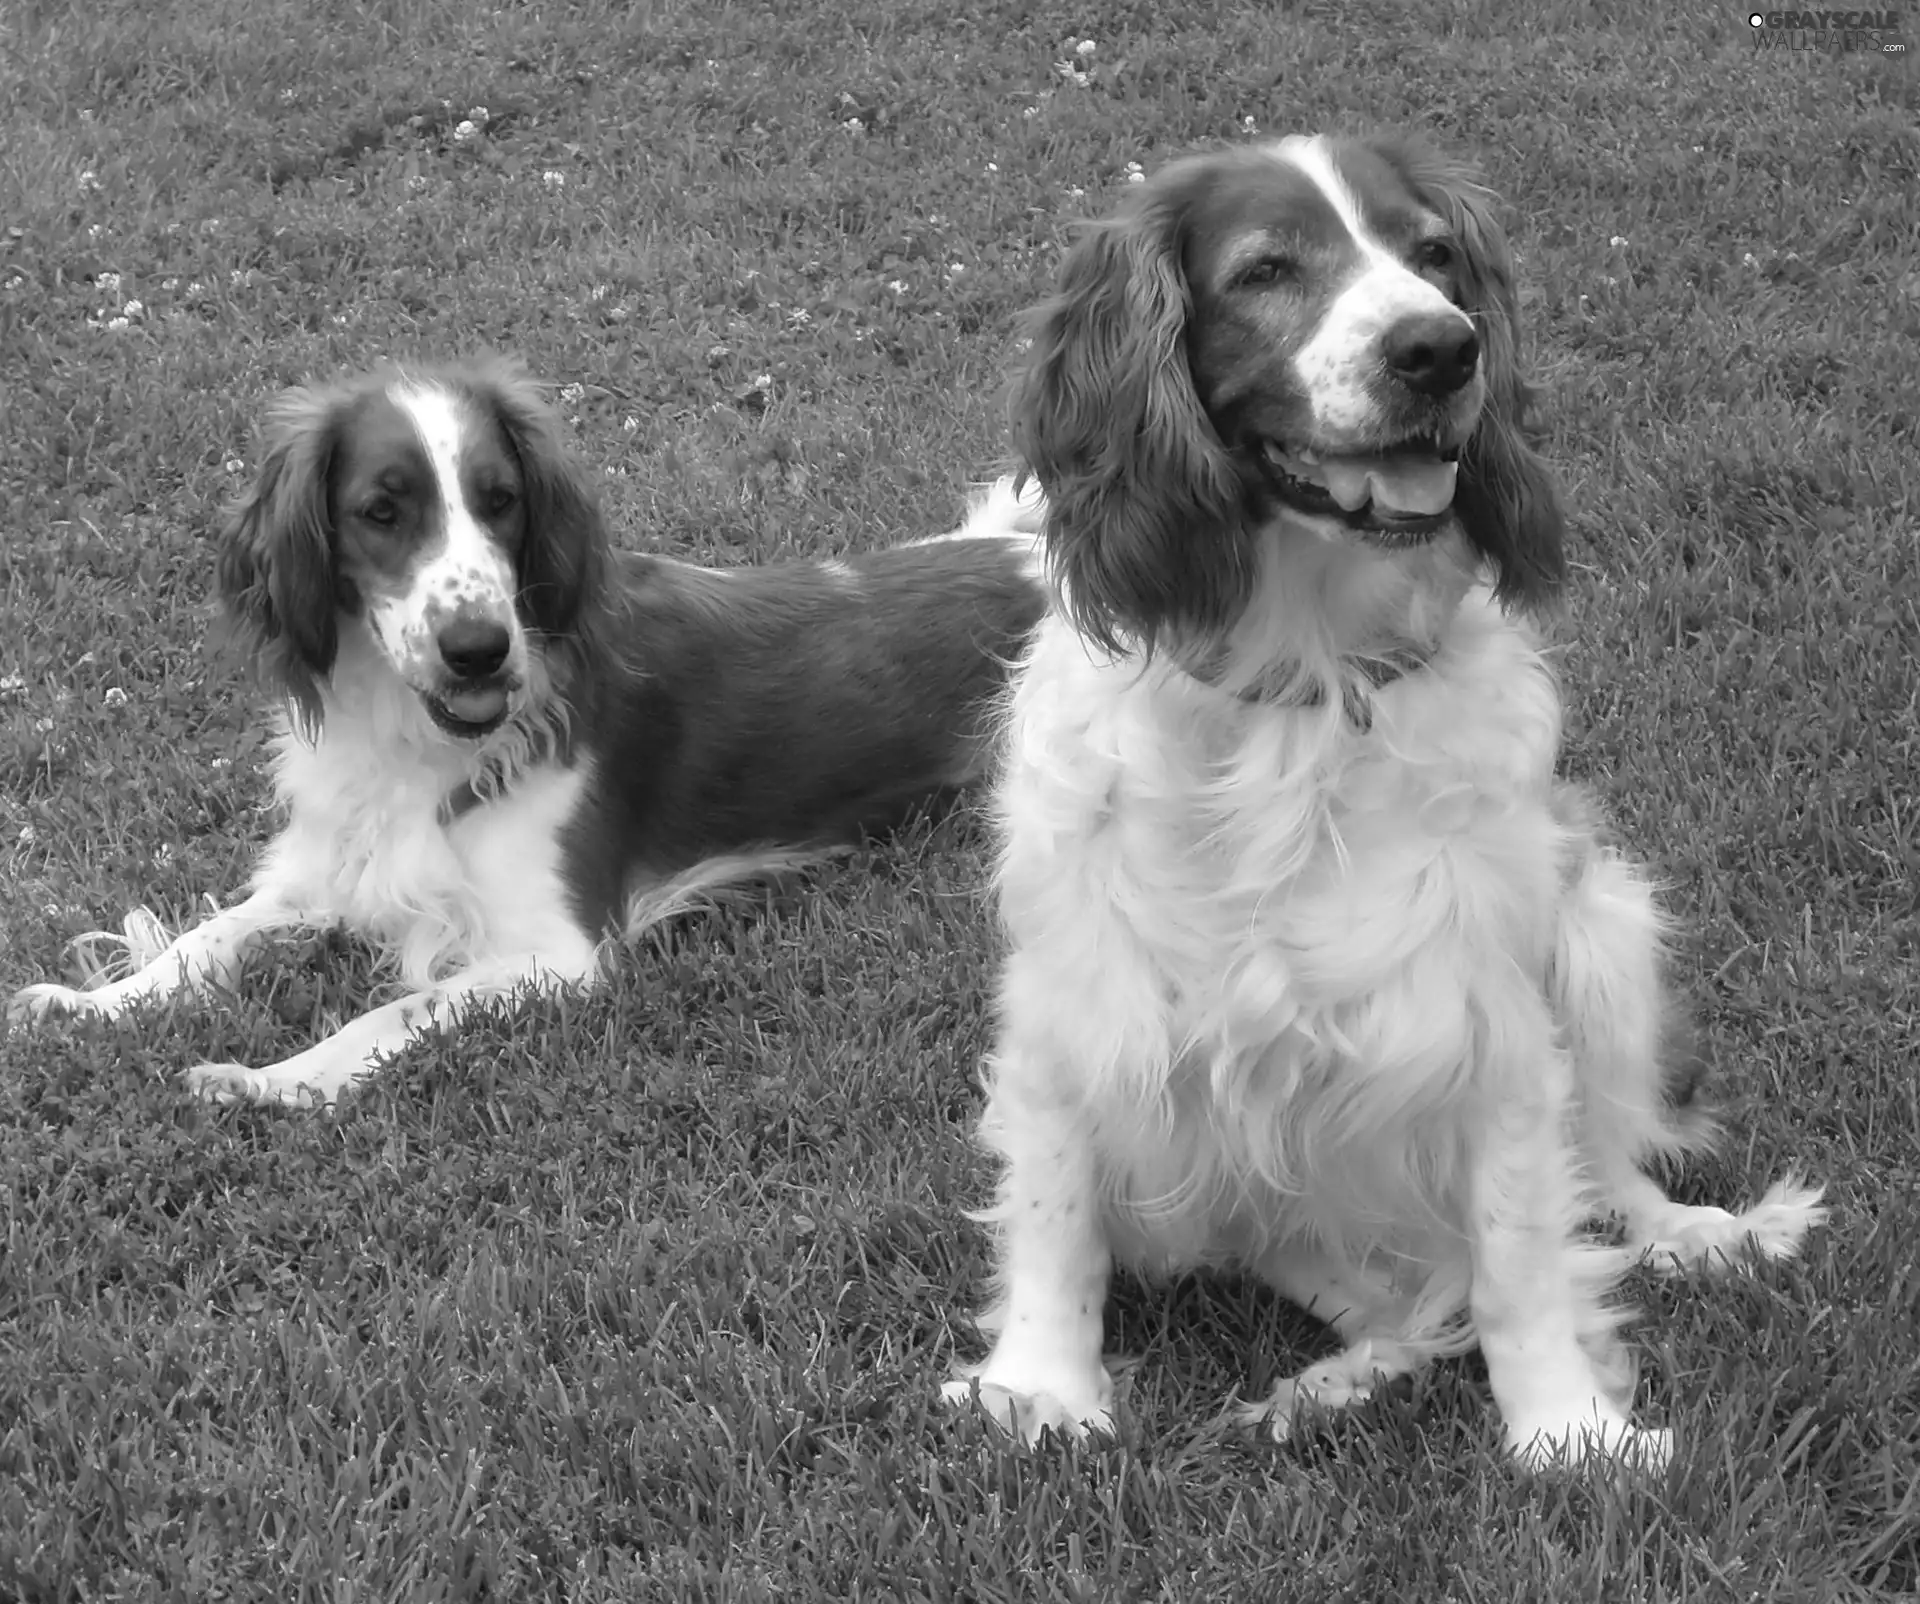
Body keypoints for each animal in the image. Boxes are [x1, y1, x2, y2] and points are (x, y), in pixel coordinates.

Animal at [7, 355, 1044, 1106]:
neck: (414, 741)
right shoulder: (337, 861)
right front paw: (90, 1006)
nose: (477, 648)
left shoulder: (557, 952)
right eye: (380, 510)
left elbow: (395, 1009)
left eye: (501, 499)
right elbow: (204, 939)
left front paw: (271, 1081)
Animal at [944, 141, 1827, 1482]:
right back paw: (1329, 1382)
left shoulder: (1489, 1019)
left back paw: (1696, 1234)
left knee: (1602, 1174)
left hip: (1604, 925)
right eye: (1266, 269)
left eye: (1435, 255)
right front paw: (1040, 1387)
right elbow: (1056, 1211)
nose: (1440, 349)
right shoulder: (1074, 995)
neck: (1304, 684)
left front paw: (1569, 1431)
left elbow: (1523, 1253)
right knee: (1405, 1297)